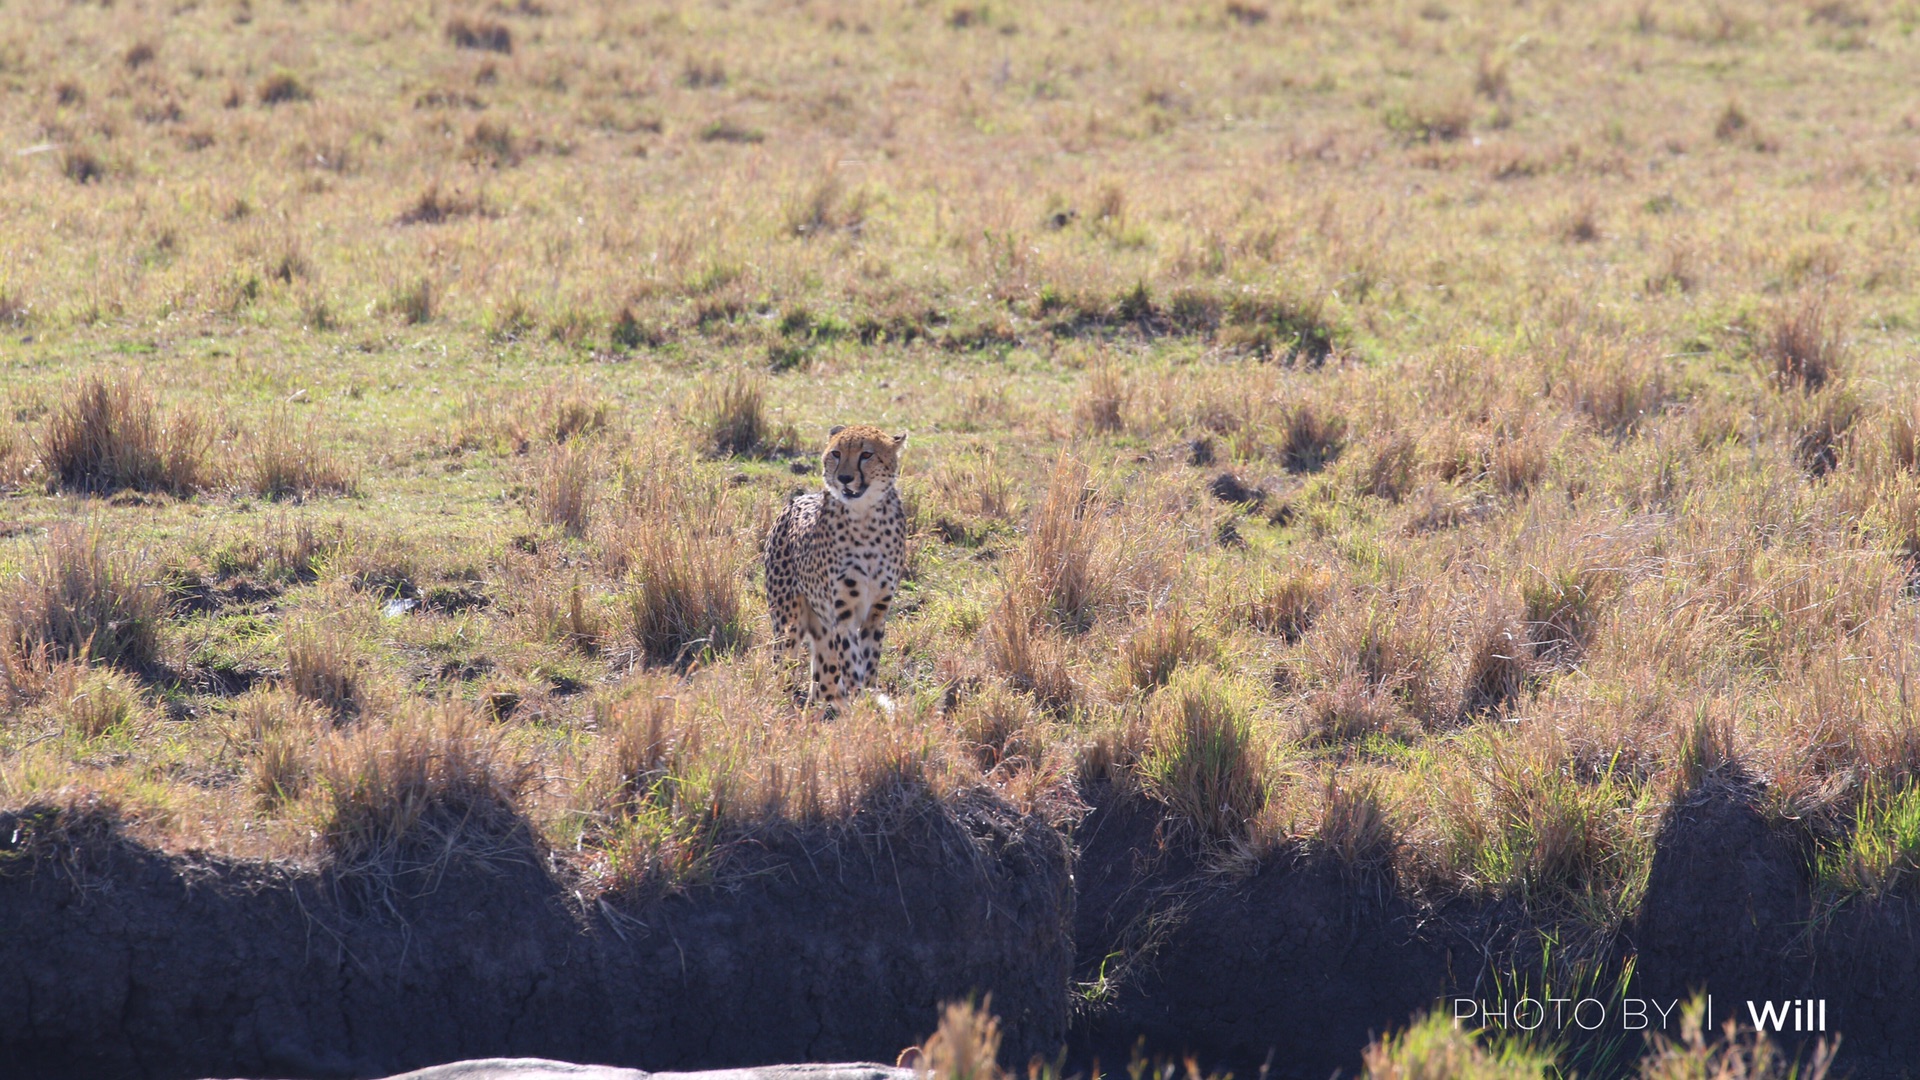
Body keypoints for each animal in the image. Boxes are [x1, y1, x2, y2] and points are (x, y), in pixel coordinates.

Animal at [760, 420, 910, 707]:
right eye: (836, 453)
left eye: (866, 454)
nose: (844, 478)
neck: (865, 519)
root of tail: (794, 500)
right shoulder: (843, 615)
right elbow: (852, 666)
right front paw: (864, 703)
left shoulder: (876, 612)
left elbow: (868, 665)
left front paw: (868, 701)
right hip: (788, 624)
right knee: (783, 671)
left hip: (823, 636)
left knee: (822, 687)